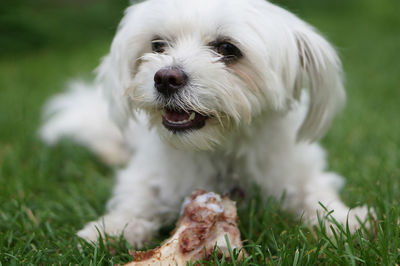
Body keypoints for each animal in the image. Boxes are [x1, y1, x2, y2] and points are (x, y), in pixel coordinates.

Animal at [39, 0, 368, 247]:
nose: (165, 78)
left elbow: (315, 192)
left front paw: (343, 219)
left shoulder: (297, 169)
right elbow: (137, 199)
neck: (220, 150)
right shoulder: (148, 174)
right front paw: (114, 227)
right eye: (158, 45)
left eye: (227, 49)